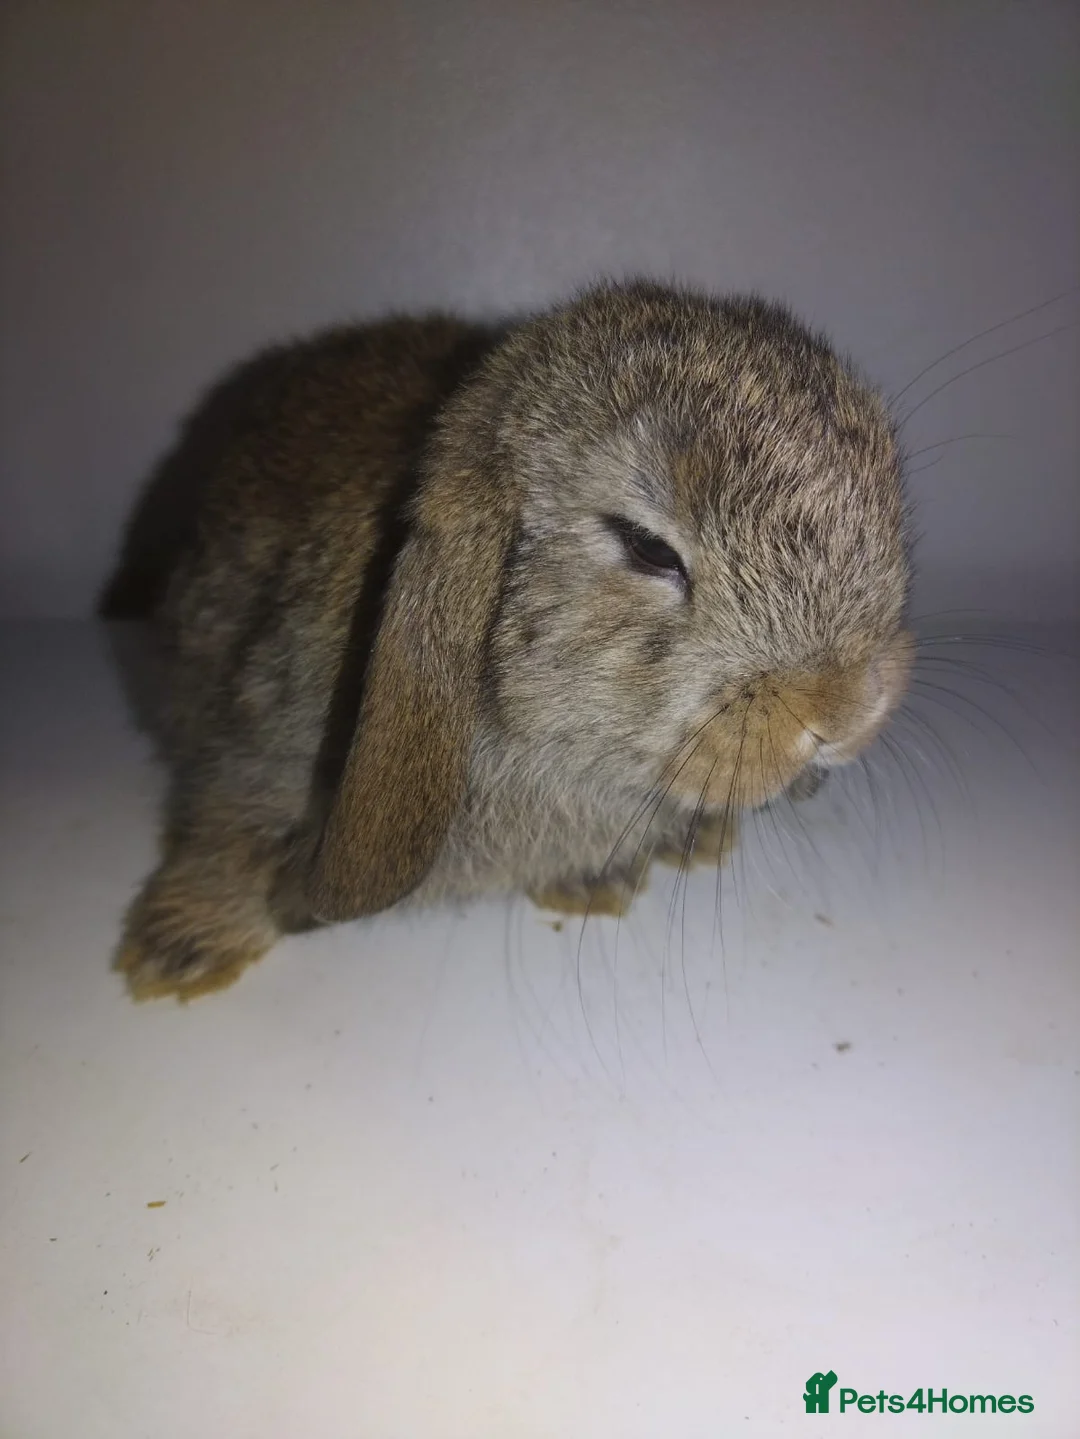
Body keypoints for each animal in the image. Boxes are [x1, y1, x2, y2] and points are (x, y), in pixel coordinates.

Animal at [114, 280, 913, 1000]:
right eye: (648, 547)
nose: (847, 710)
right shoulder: (252, 742)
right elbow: (228, 832)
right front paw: (175, 949)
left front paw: (600, 880)